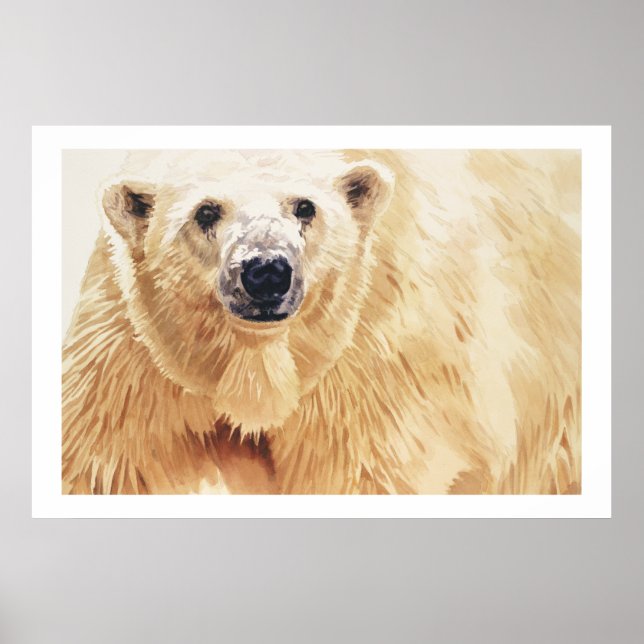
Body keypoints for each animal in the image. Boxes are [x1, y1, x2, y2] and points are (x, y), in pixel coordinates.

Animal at [62, 149, 581, 494]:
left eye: (305, 206)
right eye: (206, 211)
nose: (266, 271)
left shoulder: (387, 358)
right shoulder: (129, 364)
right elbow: (102, 467)